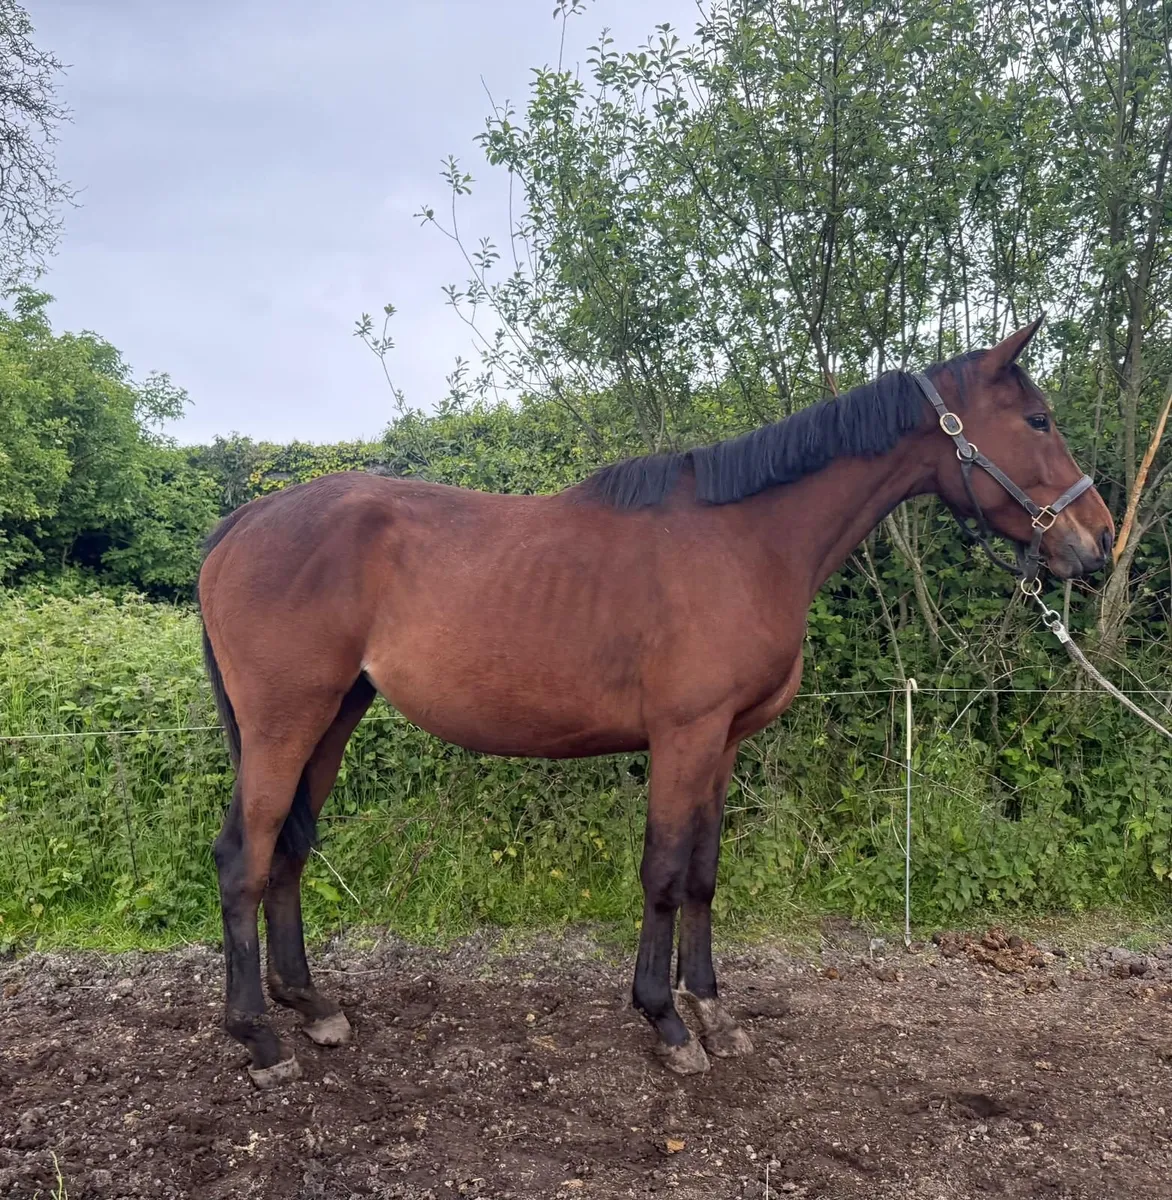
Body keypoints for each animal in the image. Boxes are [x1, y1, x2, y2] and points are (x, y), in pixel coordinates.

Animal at [198, 320, 1113, 1087]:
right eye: (1038, 420)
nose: (1098, 540)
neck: (746, 542)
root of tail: (244, 521)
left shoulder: (726, 741)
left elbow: (704, 875)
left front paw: (713, 1011)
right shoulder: (684, 735)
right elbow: (665, 874)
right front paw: (666, 1023)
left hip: (332, 719)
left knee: (286, 852)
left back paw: (313, 1008)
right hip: (285, 723)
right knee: (244, 858)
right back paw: (261, 1040)